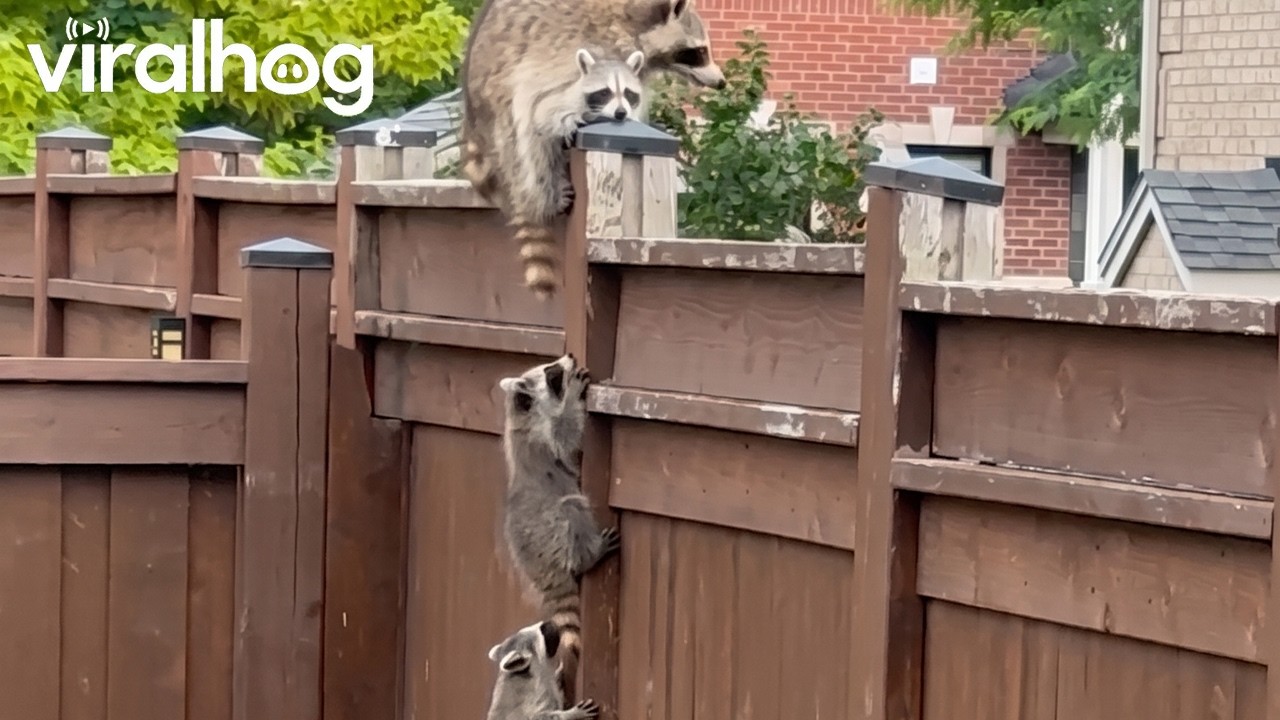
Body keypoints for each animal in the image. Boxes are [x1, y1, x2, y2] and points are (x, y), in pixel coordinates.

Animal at [459, 0, 725, 298]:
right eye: (699, 52)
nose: (721, 82)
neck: (635, 21)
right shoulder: (588, 50)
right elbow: (545, 103)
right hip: (499, 107)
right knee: (527, 137)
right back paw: (542, 191)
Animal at [496, 354, 620, 700]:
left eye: (549, 366)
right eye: (552, 374)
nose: (571, 357)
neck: (520, 415)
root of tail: (537, 566)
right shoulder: (543, 439)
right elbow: (567, 439)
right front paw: (574, 395)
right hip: (551, 532)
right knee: (572, 507)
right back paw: (589, 555)